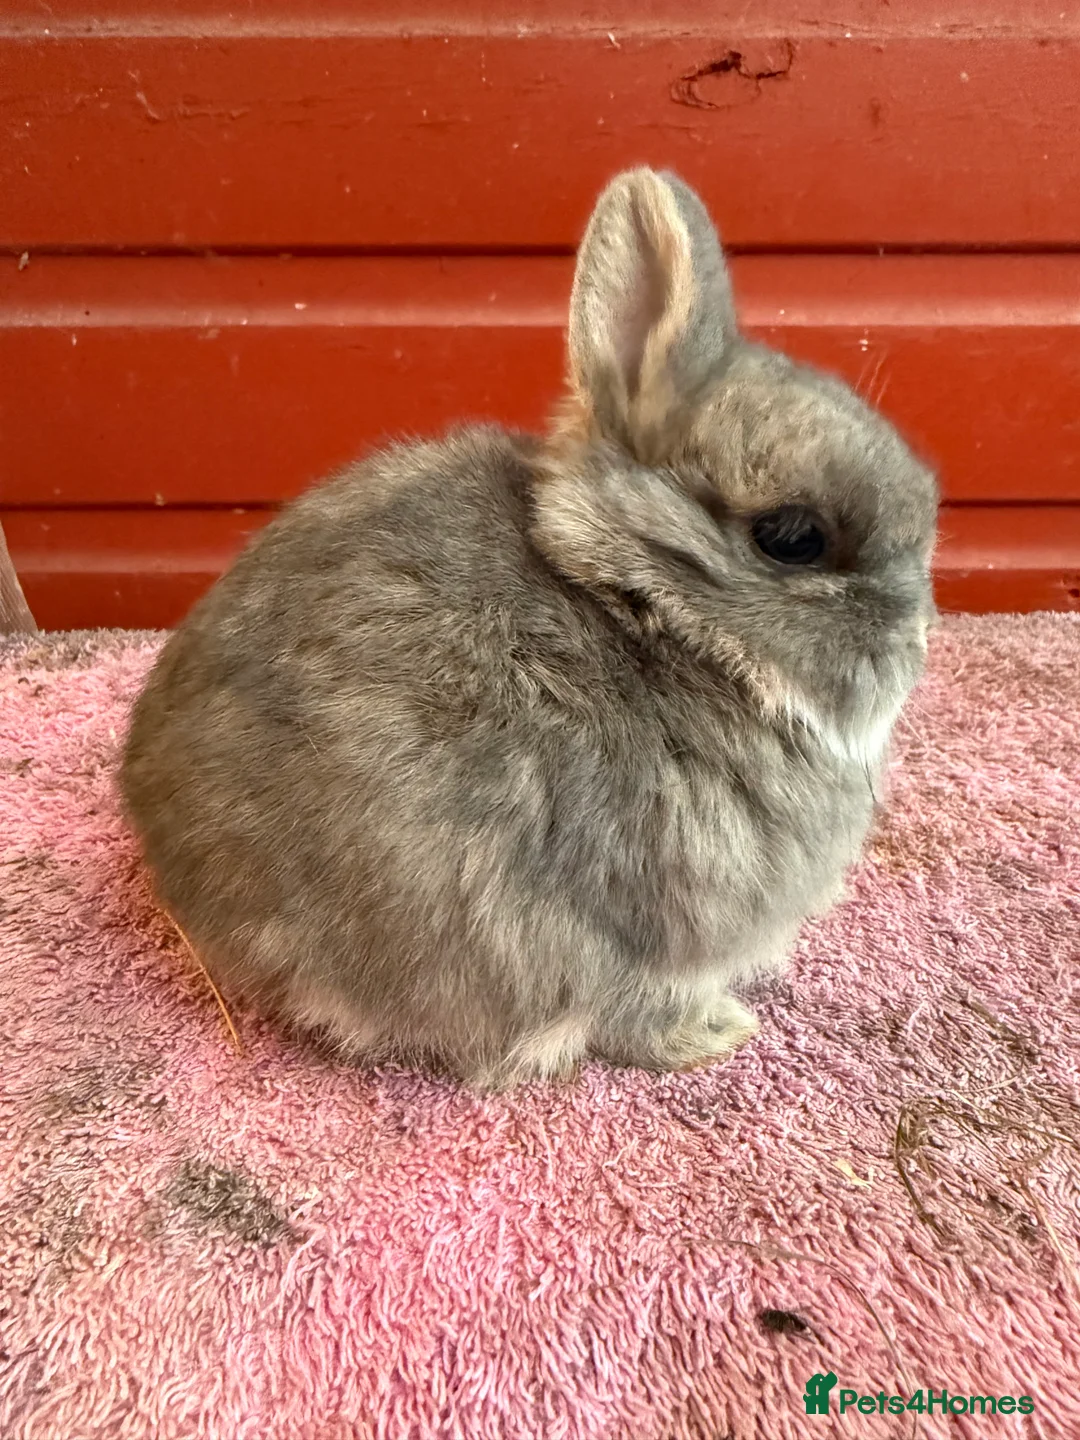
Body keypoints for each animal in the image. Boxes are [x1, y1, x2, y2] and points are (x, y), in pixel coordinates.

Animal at [120, 167, 938, 1090]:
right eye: (792, 538)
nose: (916, 643)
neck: (652, 613)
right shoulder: (645, 934)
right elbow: (636, 1011)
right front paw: (720, 1034)